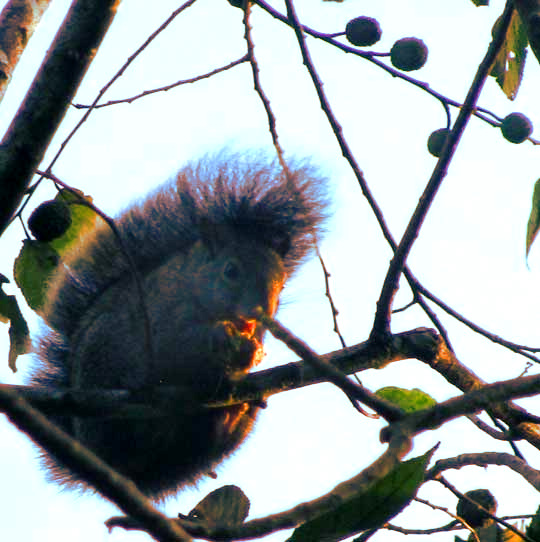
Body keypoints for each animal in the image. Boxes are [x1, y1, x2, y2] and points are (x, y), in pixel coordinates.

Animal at [29, 153, 330, 502]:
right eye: (230, 271)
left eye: (281, 286)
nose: (256, 316)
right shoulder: (162, 313)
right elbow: (178, 345)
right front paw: (221, 340)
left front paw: (249, 353)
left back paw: (232, 413)